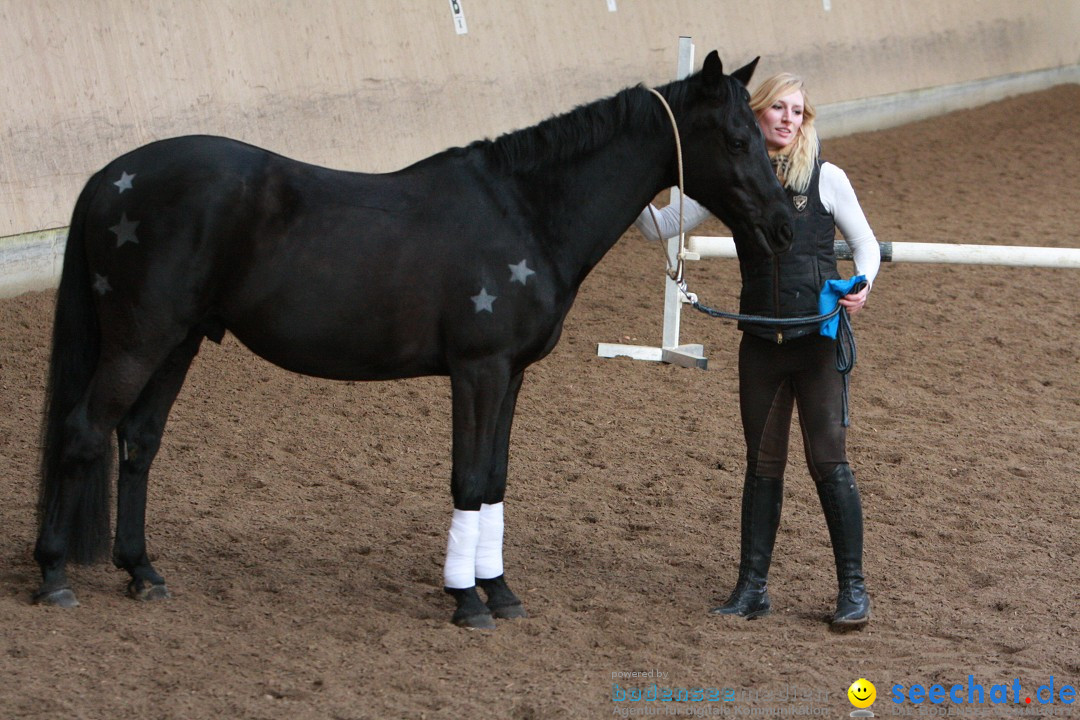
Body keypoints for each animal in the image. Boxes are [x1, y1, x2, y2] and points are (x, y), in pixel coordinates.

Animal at [33, 50, 794, 626]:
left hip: (179, 342)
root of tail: (110, 176)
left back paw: (142, 571)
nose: (785, 226)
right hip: (139, 341)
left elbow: (494, 479)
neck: (526, 210)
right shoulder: (478, 369)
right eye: (736, 139)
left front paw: (500, 591)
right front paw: (467, 601)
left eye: (763, 136)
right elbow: (467, 479)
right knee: (82, 433)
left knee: (138, 442)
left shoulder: (511, 374)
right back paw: (52, 576)